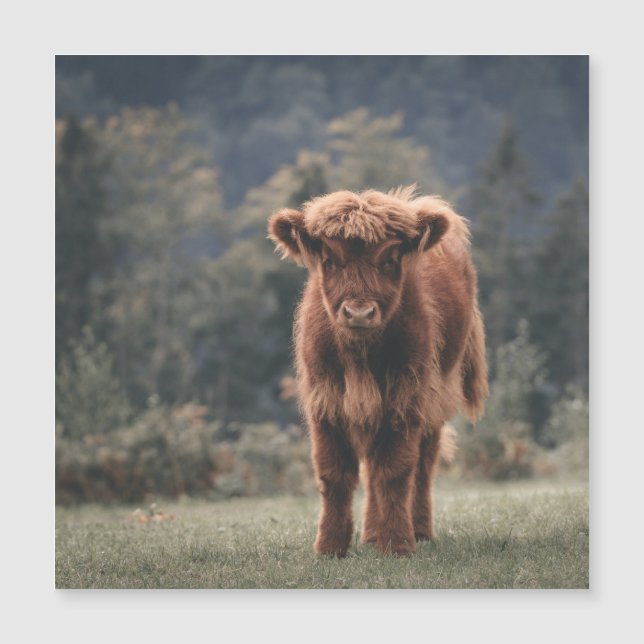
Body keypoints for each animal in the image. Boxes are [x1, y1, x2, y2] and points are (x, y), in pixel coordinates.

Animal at [268, 186, 488, 556]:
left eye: (389, 260)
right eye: (329, 260)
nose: (359, 312)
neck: (360, 357)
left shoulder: (406, 396)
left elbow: (396, 471)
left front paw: (398, 543)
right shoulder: (325, 400)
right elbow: (334, 473)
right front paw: (330, 547)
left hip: (437, 395)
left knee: (423, 465)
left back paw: (419, 530)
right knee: (372, 468)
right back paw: (371, 535)